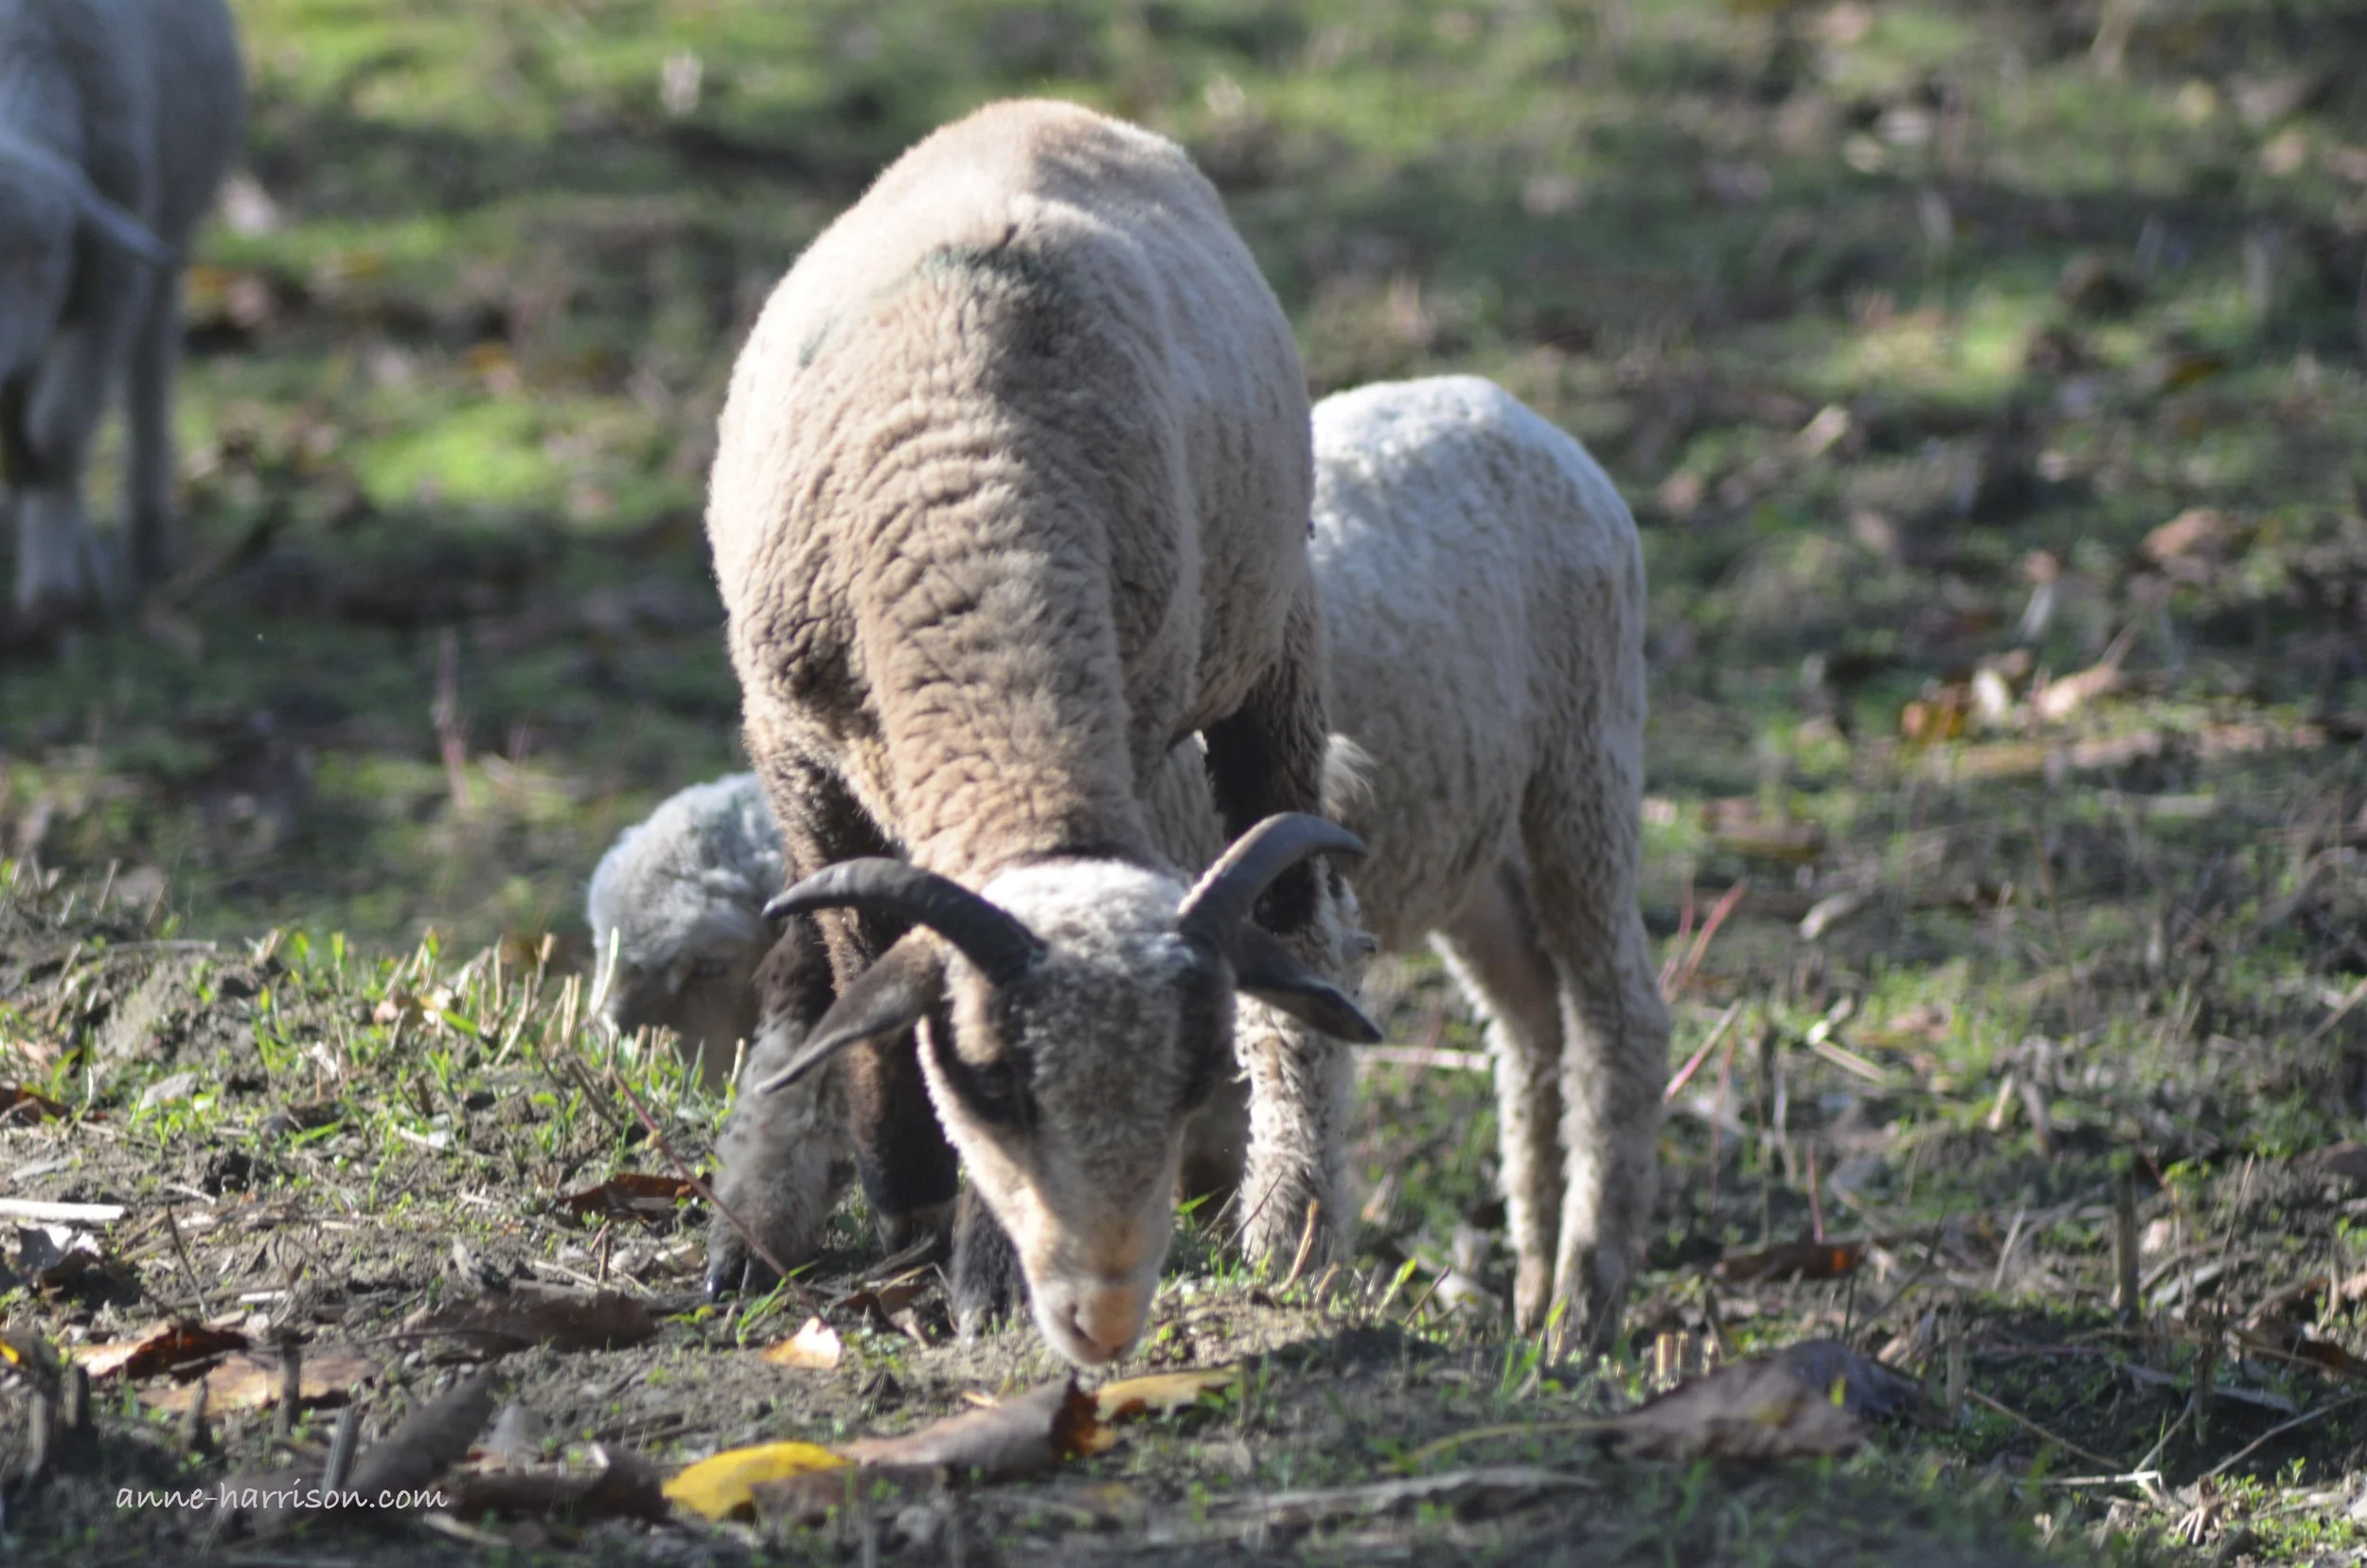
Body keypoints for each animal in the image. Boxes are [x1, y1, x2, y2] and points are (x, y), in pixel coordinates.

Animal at [0, 0, 244, 631]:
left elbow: (60, 436)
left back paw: (143, 544)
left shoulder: (109, 291)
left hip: (166, 242)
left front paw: (52, 588)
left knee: (149, 376)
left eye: (47, 252)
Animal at [701, 97, 1375, 1367]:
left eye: (1187, 1080)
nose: (1101, 1317)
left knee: (1300, 938)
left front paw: (978, 1274)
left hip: (1277, 644)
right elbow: (862, 973)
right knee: (804, 958)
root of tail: (1049, 109)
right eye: (995, 1083)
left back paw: (1291, 1235)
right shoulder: (795, 749)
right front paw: (903, 1194)